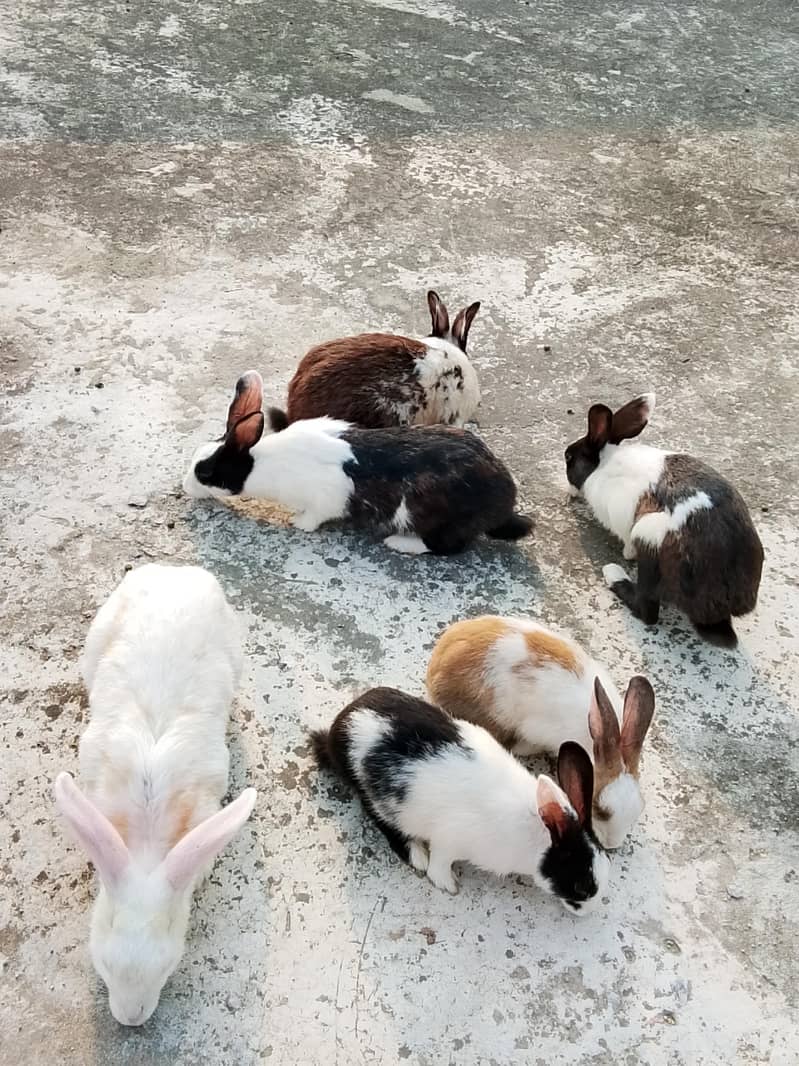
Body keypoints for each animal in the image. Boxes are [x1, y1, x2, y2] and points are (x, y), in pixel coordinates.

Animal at [183, 370, 533, 554]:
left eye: (205, 471)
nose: (186, 487)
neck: (263, 464)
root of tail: (504, 502)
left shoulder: (325, 500)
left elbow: (313, 518)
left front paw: (297, 523)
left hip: (443, 520)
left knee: (446, 546)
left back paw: (399, 542)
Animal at [311, 687, 609, 913]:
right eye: (581, 885)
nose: (591, 910)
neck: (534, 834)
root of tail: (339, 727)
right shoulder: (450, 839)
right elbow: (440, 865)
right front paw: (449, 885)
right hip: (374, 795)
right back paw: (416, 854)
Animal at [564, 393, 764, 647]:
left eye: (569, 457)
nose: (569, 490)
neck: (603, 464)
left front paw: (626, 554)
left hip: (647, 536)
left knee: (647, 611)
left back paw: (613, 574)